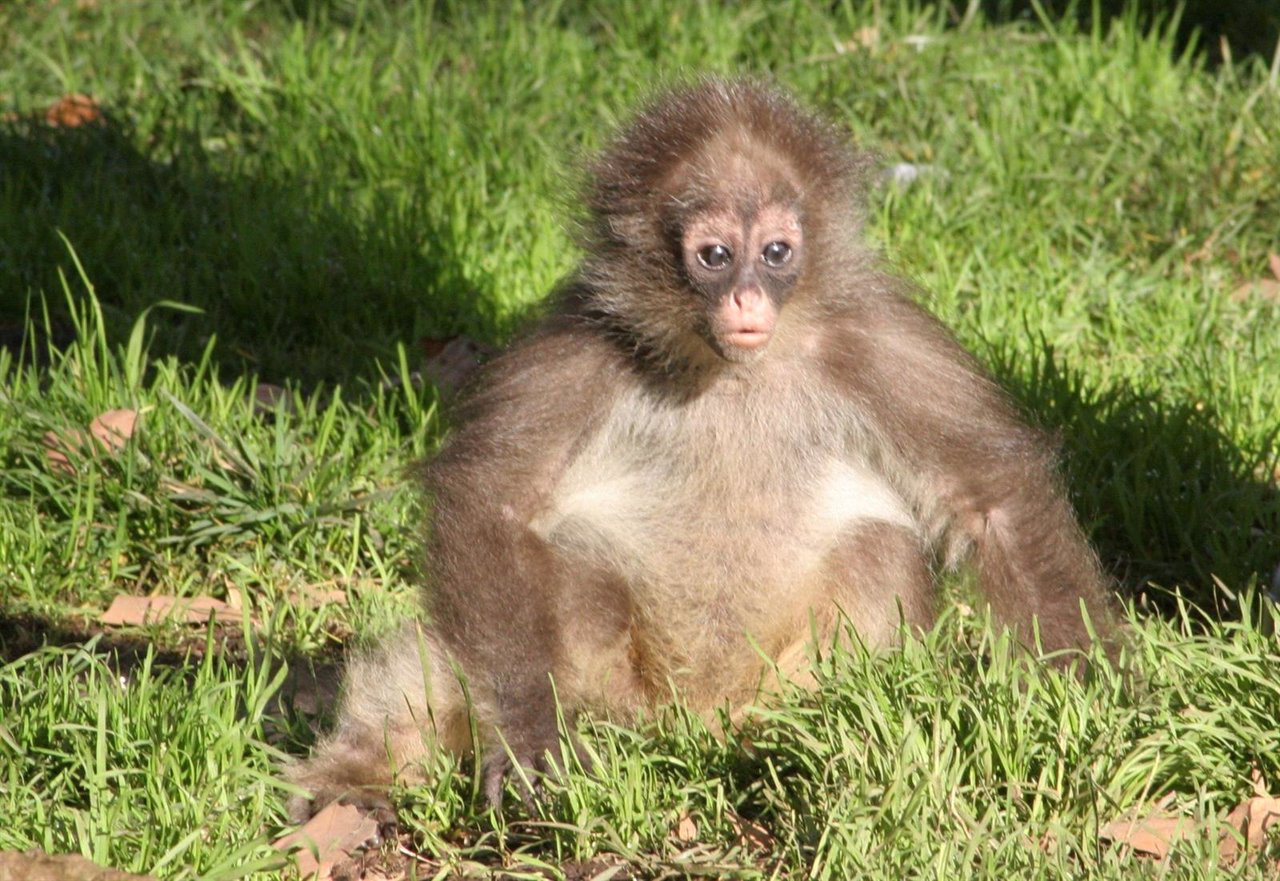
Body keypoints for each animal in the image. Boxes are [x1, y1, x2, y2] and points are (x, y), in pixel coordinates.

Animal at [285, 79, 1116, 824]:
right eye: (715, 255)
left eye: (776, 252)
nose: (747, 298)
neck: (728, 369)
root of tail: (698, 721)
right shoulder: (586, 338)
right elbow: (492, 504)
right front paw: (525, 735)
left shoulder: (871, 336)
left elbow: (993, 497)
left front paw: (1086, 712)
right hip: (613, 690)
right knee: (552, 575)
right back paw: (355, 778)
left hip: (780, 686)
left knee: (878, 547)